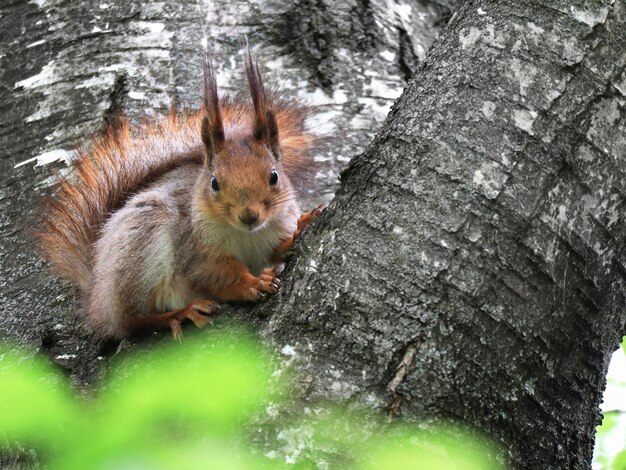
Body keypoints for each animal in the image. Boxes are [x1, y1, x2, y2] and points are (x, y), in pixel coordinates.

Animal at [36, 49, 324, 340]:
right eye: (214, 183)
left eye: (274, 176)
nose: (249, 216)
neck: (248, 235)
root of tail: (96, 297)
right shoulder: (195, 249)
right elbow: (215, 276)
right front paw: (252, 283)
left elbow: (276, 250)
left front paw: (300, 229)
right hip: (141, 244)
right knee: (132, 323)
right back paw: (178, 314)